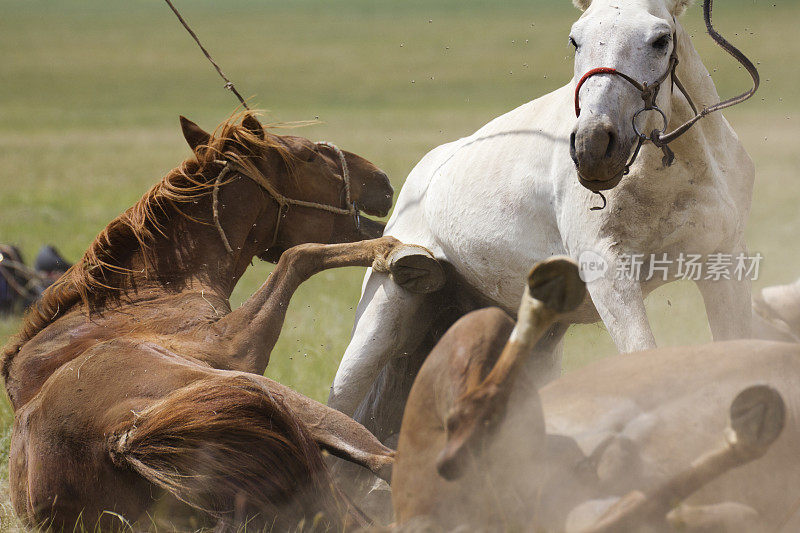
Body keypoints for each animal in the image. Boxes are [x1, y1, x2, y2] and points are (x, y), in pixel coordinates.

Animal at [1, 111, 444, 528]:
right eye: (308, 154)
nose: (384, 179)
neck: (148, 293)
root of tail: (120, 438)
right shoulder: (236, 349)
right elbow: (297, 256)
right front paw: (395, 251)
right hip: (272, 395)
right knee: (383, 463)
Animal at [330, 0, 756, 434]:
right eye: (575, 39)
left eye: (660, 40)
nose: (593, 146)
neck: (673, 170)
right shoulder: (608, 270)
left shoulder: (723, 262)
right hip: (382, 318)